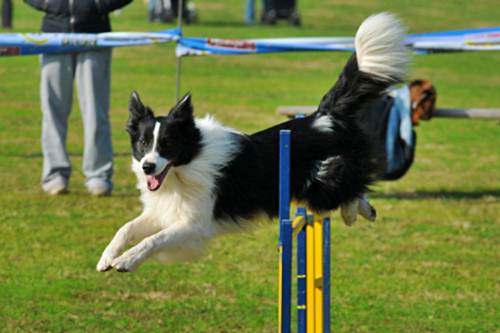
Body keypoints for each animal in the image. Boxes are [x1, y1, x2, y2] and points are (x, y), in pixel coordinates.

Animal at [97, 13, 410, 272]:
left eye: (167, 144)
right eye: (142, 143)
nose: (148, 167)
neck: (188, 164)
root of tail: (325, 114)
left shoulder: (195, 223)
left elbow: (153, 240)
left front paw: (126, 261)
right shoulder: (166, 211)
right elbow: (126, 228)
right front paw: (106, 258)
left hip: (323, 177)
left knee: (348, 188)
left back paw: (352, 212)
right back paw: (364, 211)